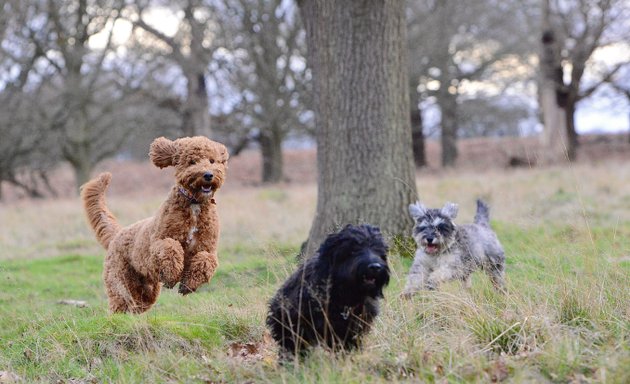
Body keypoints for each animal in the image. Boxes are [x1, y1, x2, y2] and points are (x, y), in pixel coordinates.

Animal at [81, 136, 230, 314]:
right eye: (192, 161)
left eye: (212, 160)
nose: (208, 174)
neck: (194, 204)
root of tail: (118, 234)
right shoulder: (159, 242)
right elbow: (170, 248)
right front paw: (172, 276)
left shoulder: (206, 247)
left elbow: (206, 261)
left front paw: (188, 284)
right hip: (119, 281)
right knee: (120, 302)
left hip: (146, 289)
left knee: (138, 304)